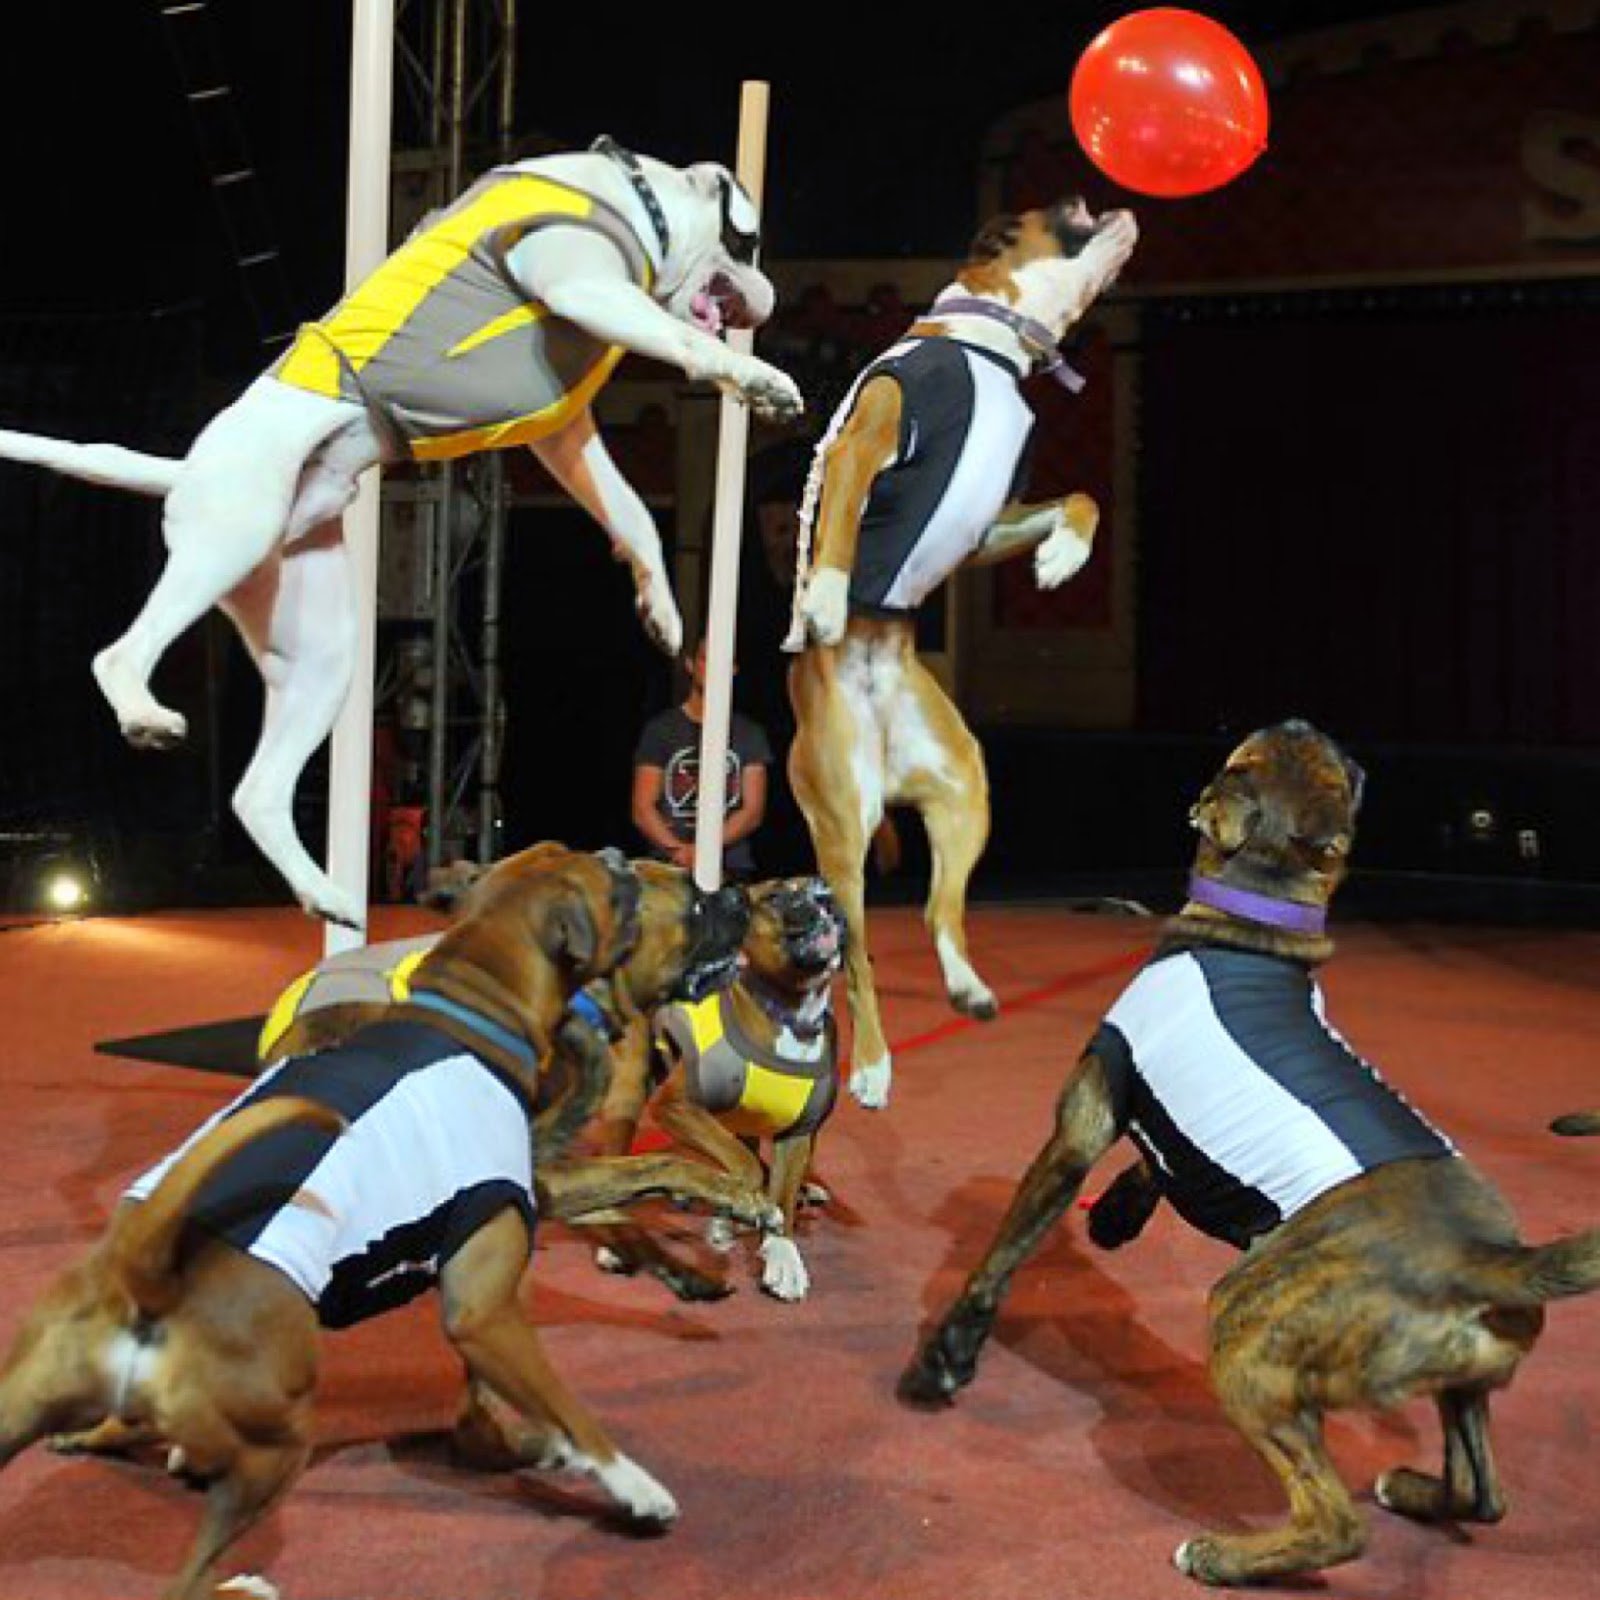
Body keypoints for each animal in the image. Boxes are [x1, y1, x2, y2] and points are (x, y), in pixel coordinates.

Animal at [0, 844, 768, 1593]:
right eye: (689, 900)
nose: (736, 893)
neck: (473, 997)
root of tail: (150, 1270)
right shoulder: (507, 1238)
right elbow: (645, 1178)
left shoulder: (525, 1201)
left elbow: (644, 1180)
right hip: (276, 1443)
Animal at [787, 193, 1139, 1107]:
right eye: (1065, 208)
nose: (1110, 200)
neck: (988, 349)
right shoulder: (868, 438)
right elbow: (835, 535)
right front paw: (824, 601)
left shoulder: (988, 524)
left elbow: (1079, 499)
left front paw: (1064, 557)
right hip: (841, 828)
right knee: (859, 955)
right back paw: (874, 1065)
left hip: (962, 790)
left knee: (940, 911)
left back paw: (968, 985)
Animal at [902, 723, 1600, 1587]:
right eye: (1333, 770)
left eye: (1243, 756)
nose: (1309, 725)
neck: (1258, 925)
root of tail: (1486, 1255)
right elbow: (1157, 1163)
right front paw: (1119, 1217)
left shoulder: (1079, 1128)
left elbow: (997, 1259)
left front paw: (944, 1359)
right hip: (1460, 1384)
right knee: (1481, 1493)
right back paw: (1409, 1489)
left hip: (1245, 1334)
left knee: (1336, 1524)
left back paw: (1224, 1556)